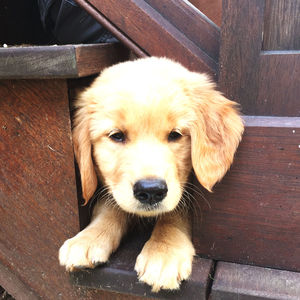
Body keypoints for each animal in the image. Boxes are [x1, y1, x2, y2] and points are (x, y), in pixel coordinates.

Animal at [58, 56, 244, 290]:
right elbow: (111, 206)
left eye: (175, 135)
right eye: (116, 135)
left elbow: (174, 211)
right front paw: (89, 237)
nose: (151, 191)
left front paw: (163, 251)